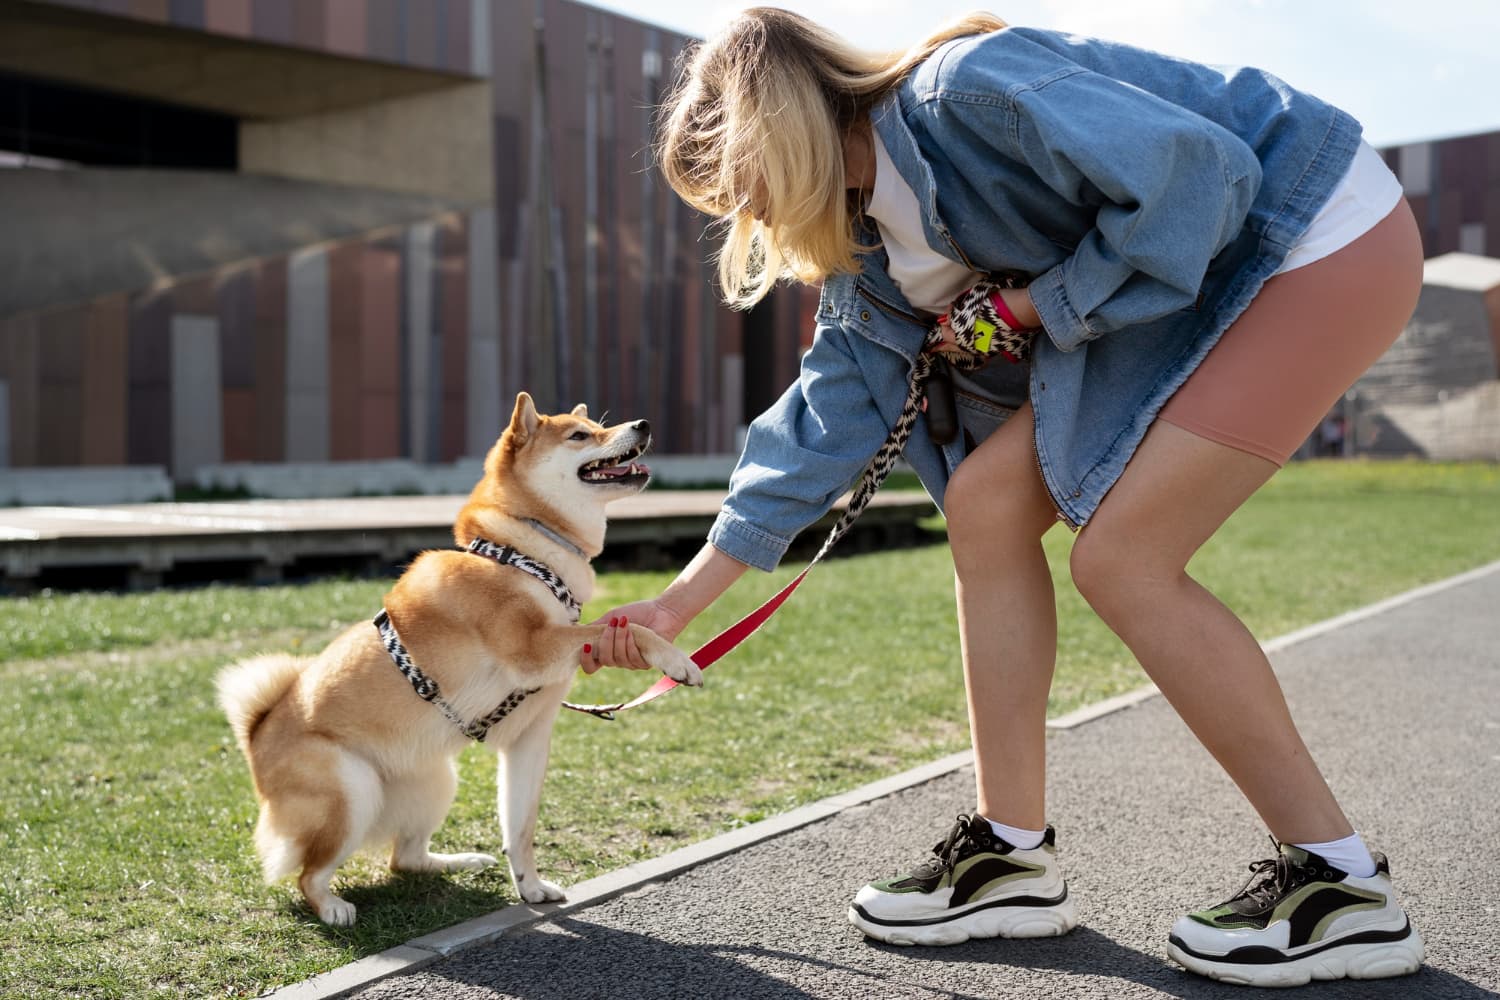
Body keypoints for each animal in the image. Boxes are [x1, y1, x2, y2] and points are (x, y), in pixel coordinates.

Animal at [217, 395, 702, 929]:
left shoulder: (530, 739)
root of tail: (256, 735)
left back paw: (461, 861)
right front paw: (676, 659)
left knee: (404, 858)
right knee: (309, 875)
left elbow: (520, 828)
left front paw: (530, 888)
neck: (523, 554)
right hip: (353, 791)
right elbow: (626, 628)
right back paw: (333, 908)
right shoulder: (532, 649)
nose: (643, 423)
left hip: (436, 782)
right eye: (580, 436)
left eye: (597, 425)